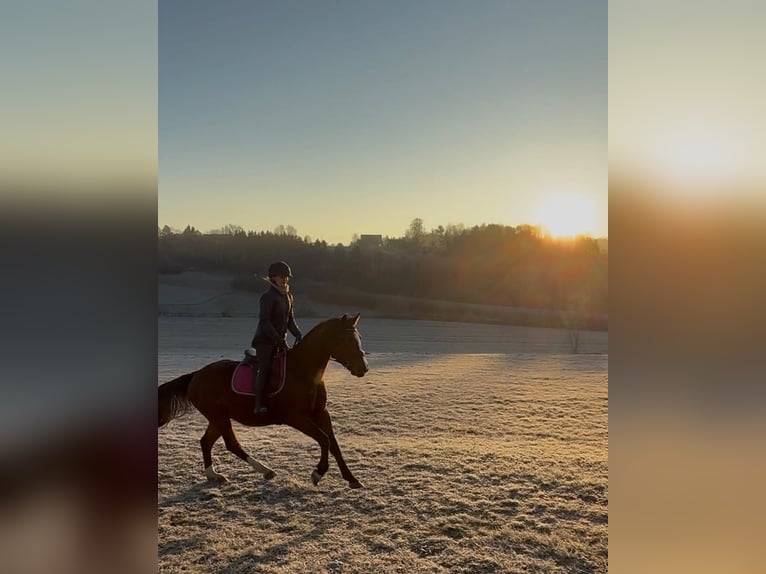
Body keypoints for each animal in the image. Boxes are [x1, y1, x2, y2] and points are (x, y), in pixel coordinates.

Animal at [158, 316, 368, 490]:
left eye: (358, 338)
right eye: (347, 340)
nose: (363, 368)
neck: (302, 370)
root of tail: (196, 375)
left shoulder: (320, 413)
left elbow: (334, 444)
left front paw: (352, 479)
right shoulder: (296, 418)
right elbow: (324, 440)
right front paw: (318, 473)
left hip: (218, 418)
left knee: (206, 442)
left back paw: (214, 475)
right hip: (218, 417)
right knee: (232, 444)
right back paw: (266, 471)